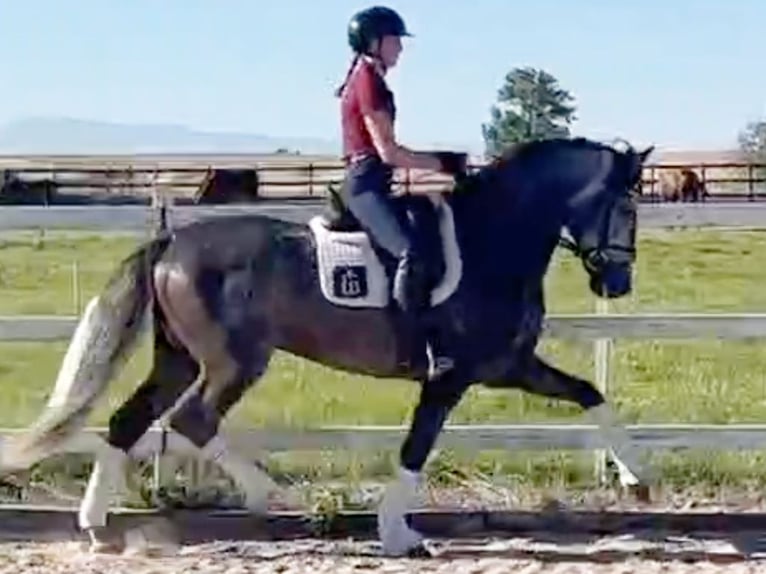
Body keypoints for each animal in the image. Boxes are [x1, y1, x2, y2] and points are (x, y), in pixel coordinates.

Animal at [1, 135, 656, 560]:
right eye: (626, 203)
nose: (618, 283)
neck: (492, 239)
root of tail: (171, 242)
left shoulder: (506, 365)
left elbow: (590, 394)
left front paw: (636, 477)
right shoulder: (450, 376)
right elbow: (416, 447)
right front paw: (398, 534)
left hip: (178, 356)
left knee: (130, 420)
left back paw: (96, 526)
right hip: (234, 360)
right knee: (193, 418)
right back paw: (270, 495)